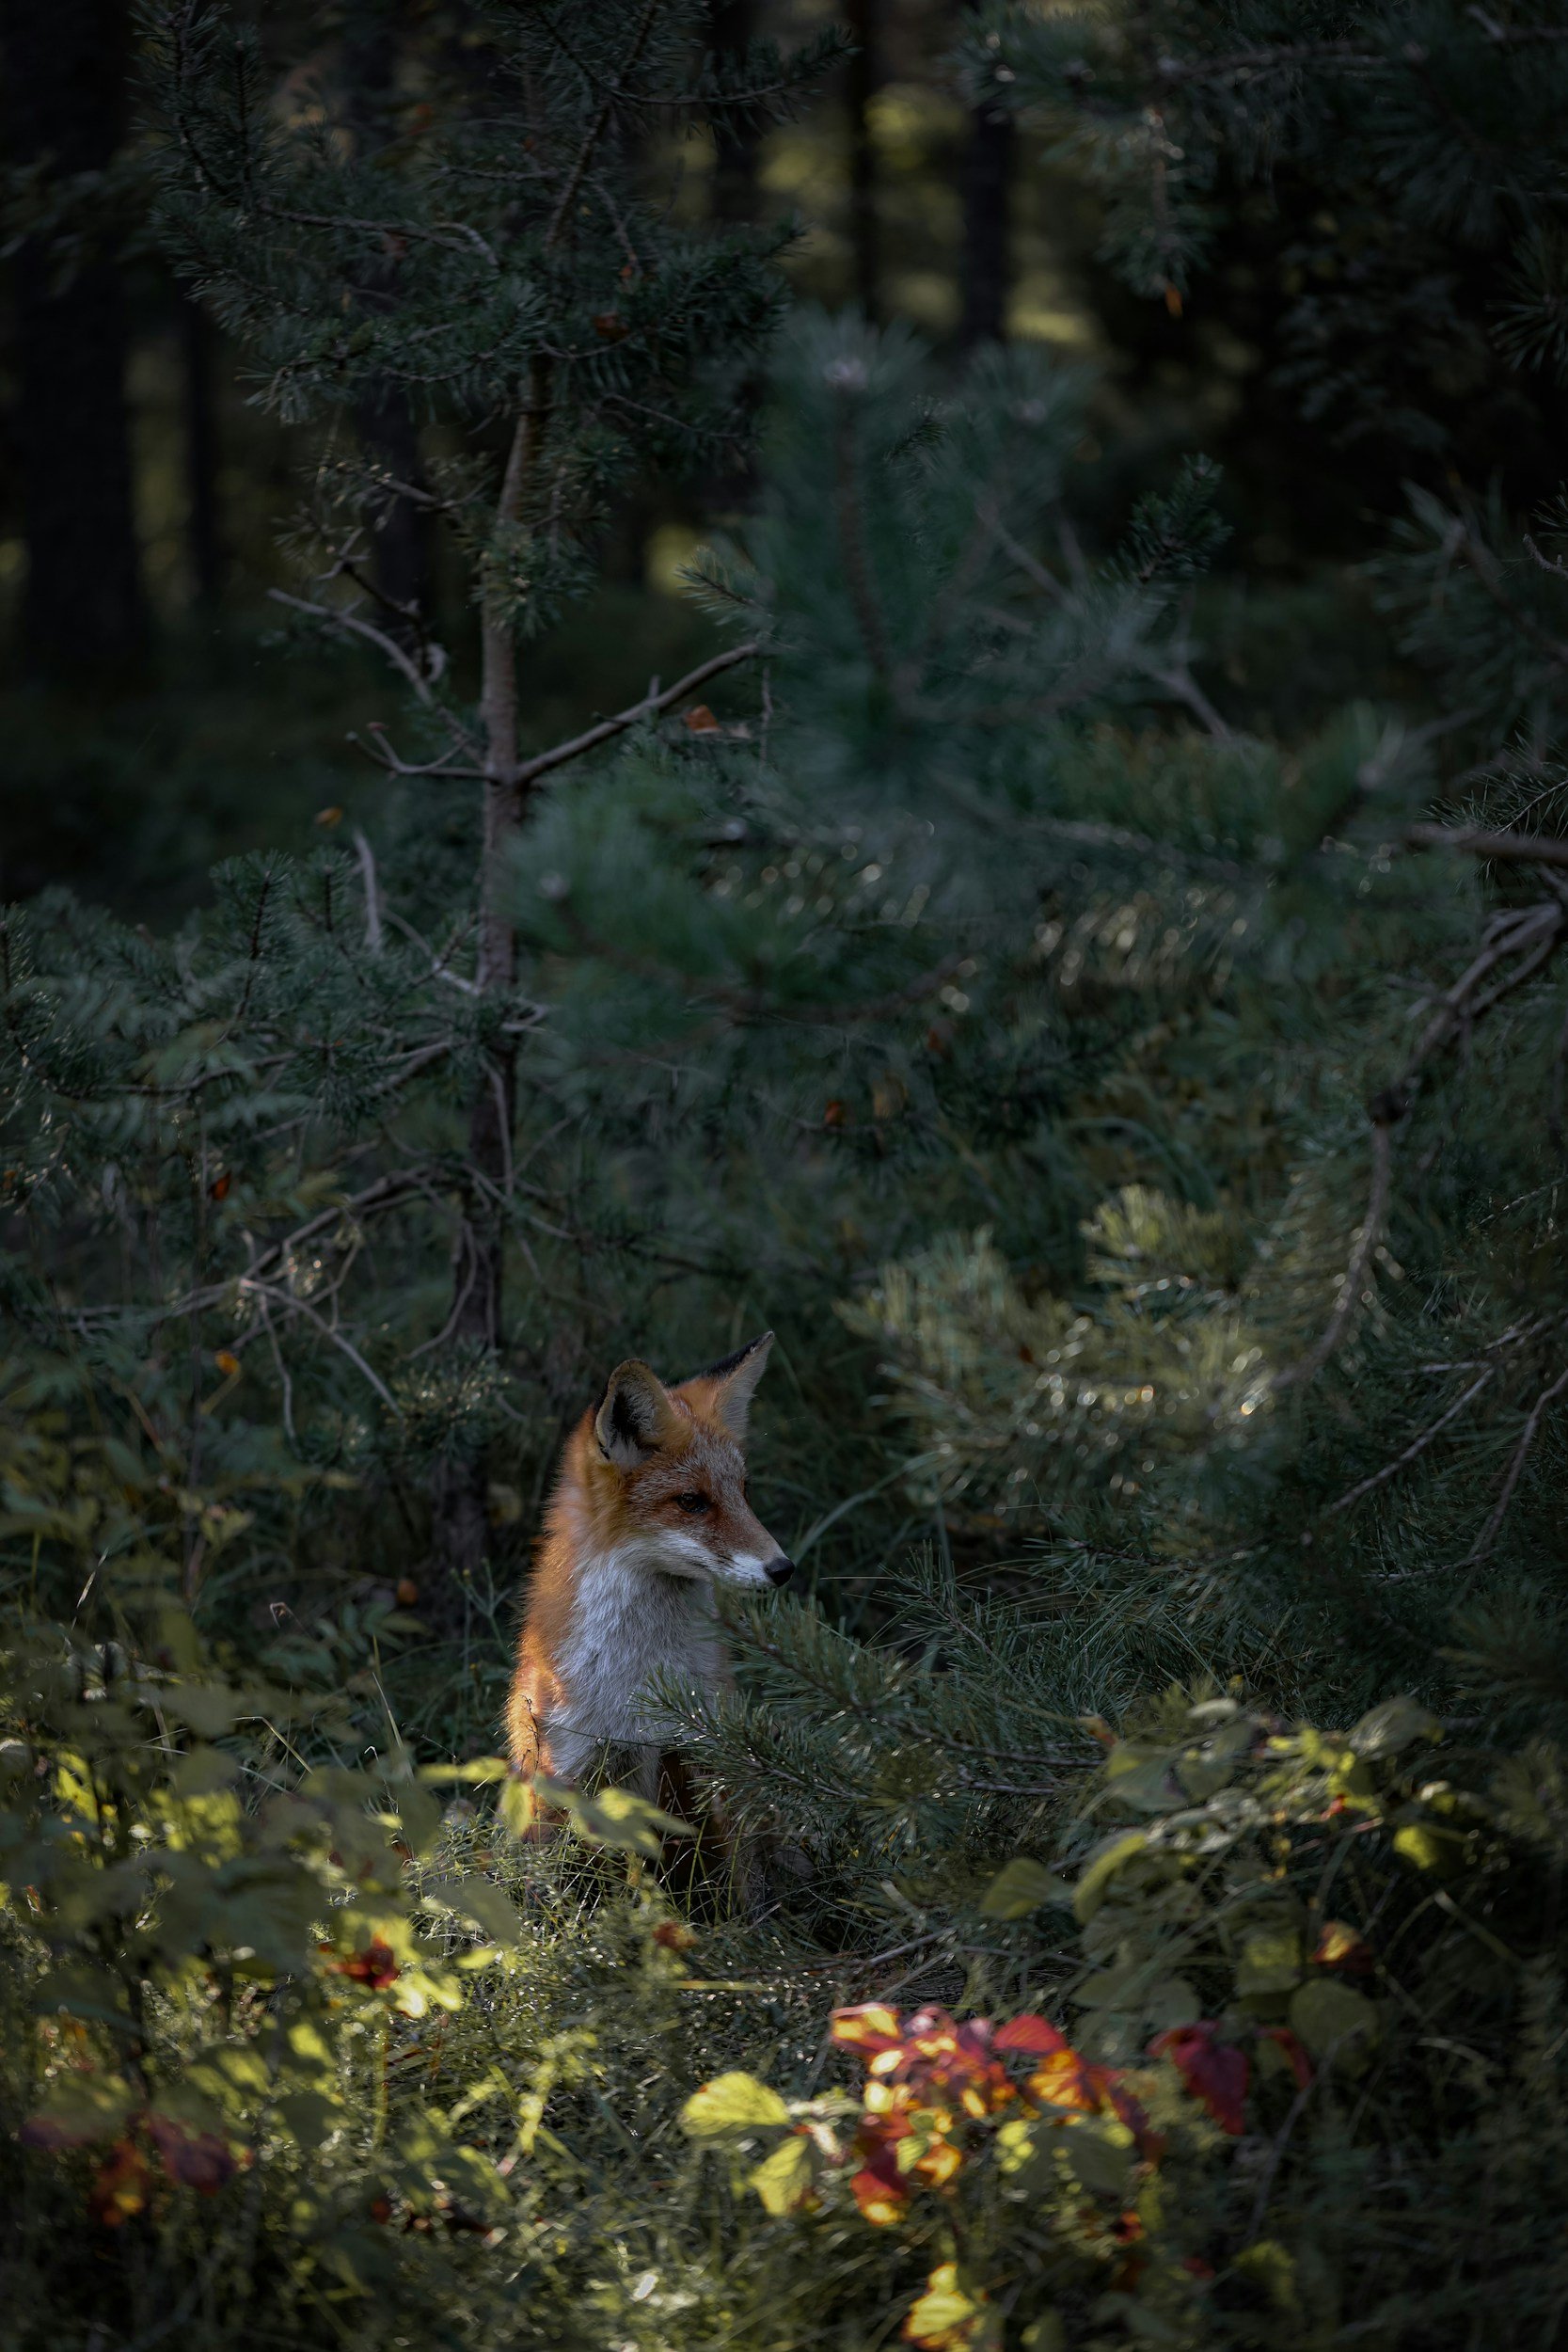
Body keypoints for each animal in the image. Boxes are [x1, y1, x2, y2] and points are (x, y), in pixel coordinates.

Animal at [506, 1332, 793, 1816]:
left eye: (743, 1491)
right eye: (692, 1502)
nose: (783, 1569)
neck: (639, 1681)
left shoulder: (704, 1750)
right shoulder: (566, 1765)